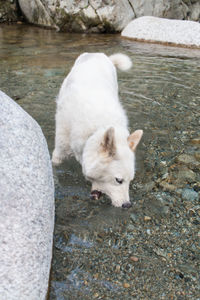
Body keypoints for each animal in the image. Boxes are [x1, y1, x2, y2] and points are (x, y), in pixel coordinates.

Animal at [51, 52, 142, 207]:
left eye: (130, 180)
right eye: (119, 180)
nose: (127, 205)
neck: (96, 129)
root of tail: (97, 54)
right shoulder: (59, 150)